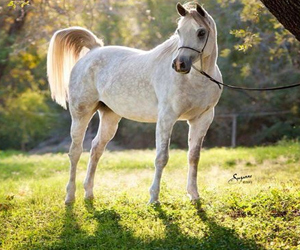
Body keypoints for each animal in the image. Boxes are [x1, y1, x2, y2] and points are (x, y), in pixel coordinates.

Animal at [47, 1, 223, 204]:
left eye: (201, 32)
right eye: (178, 31)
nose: (179, 64)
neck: (195, 79)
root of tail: (94, 50)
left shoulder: (202, 119)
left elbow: (194, 157)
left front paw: (194, 195)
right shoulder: (166, 118)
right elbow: (161, 157)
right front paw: (154, 198)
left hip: (110, 116)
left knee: (96, 149)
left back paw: (89, 193)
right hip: (81, 114)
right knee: (75, 152)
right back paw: (70, 197)